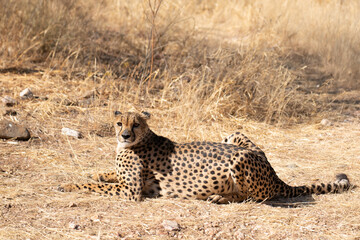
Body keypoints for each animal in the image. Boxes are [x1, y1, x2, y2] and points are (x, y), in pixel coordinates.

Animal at [59, 110, 352, 202]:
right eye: (120, 123)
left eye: (137, 124)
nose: (125, 136)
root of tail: (276, 175)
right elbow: (103, 176)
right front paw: (99, 172)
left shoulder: (130, 191)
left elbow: (89, 186)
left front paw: (68, 185)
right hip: (234, 134)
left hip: (240, 159)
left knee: (252, 197)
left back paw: (220, 197)